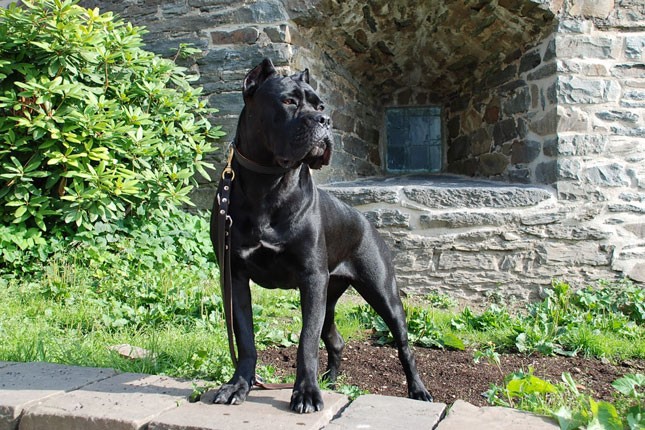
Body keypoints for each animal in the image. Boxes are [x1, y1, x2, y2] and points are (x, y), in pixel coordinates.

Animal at [211, 58, 432, 414]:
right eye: (288, 101)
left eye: (321, 106)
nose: (325, 121)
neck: (268, 183)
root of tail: (366, 221)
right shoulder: (235, 277)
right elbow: (245, 338)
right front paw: (238, 385)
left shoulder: (311, 278)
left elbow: (306, 341)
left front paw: (306, 393)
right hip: (330, 295)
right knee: (335, 339)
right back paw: (330, 380)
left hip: (382, 293)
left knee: (403, 345)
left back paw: (418, 390)